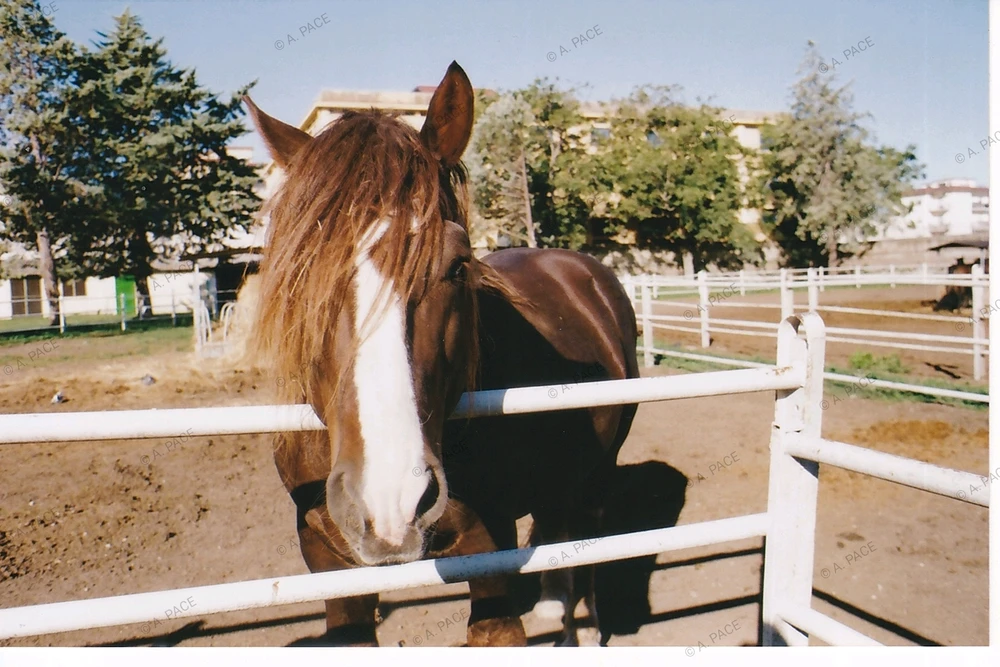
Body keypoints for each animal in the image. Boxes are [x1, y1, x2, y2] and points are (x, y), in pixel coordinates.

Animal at [244, 61, 639, 647]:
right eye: (300, 271)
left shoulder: (488, 550)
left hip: (598, 471)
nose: (390, 502)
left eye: (457, 266)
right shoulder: (329, 563)